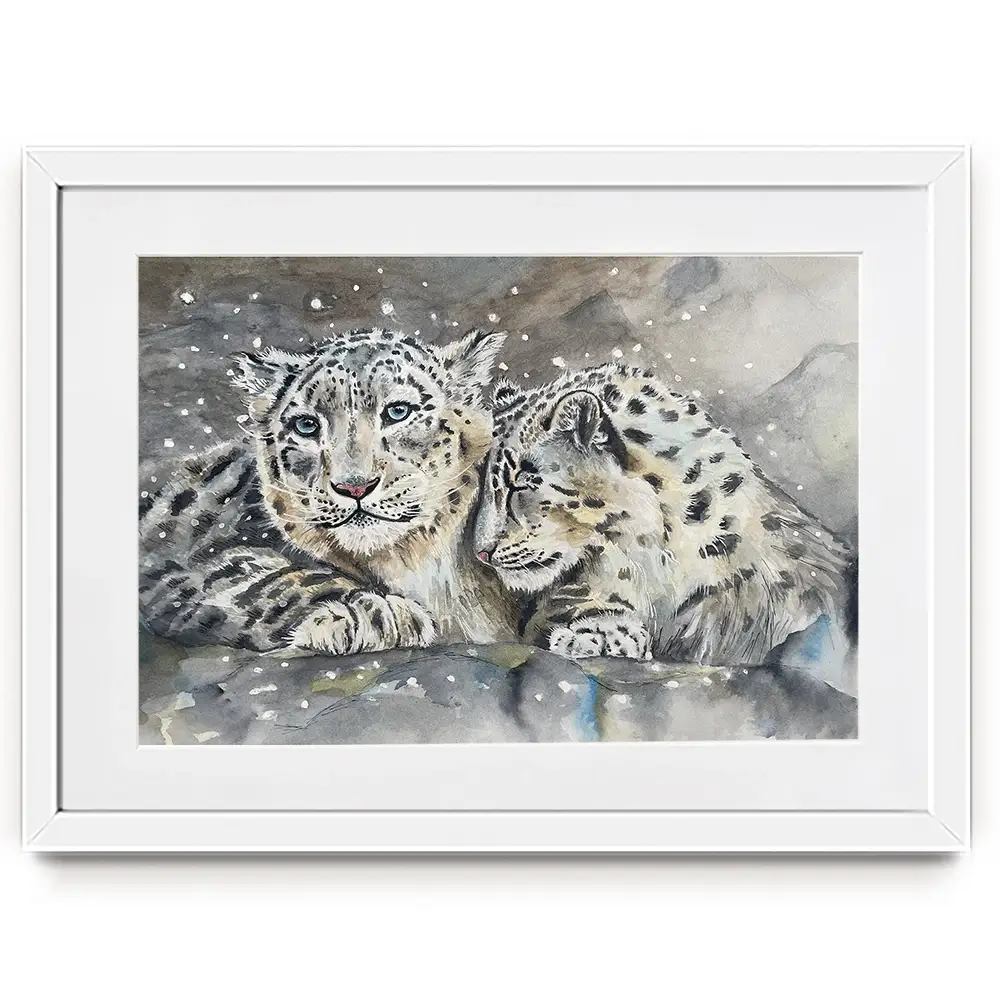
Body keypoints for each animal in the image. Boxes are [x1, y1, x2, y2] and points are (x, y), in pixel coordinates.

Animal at [139, 327, 518, 656]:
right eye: (306, 425)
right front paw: (376, 614)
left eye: (398, 411)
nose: (354, 486)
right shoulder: (184, 562)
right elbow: (268, 577)